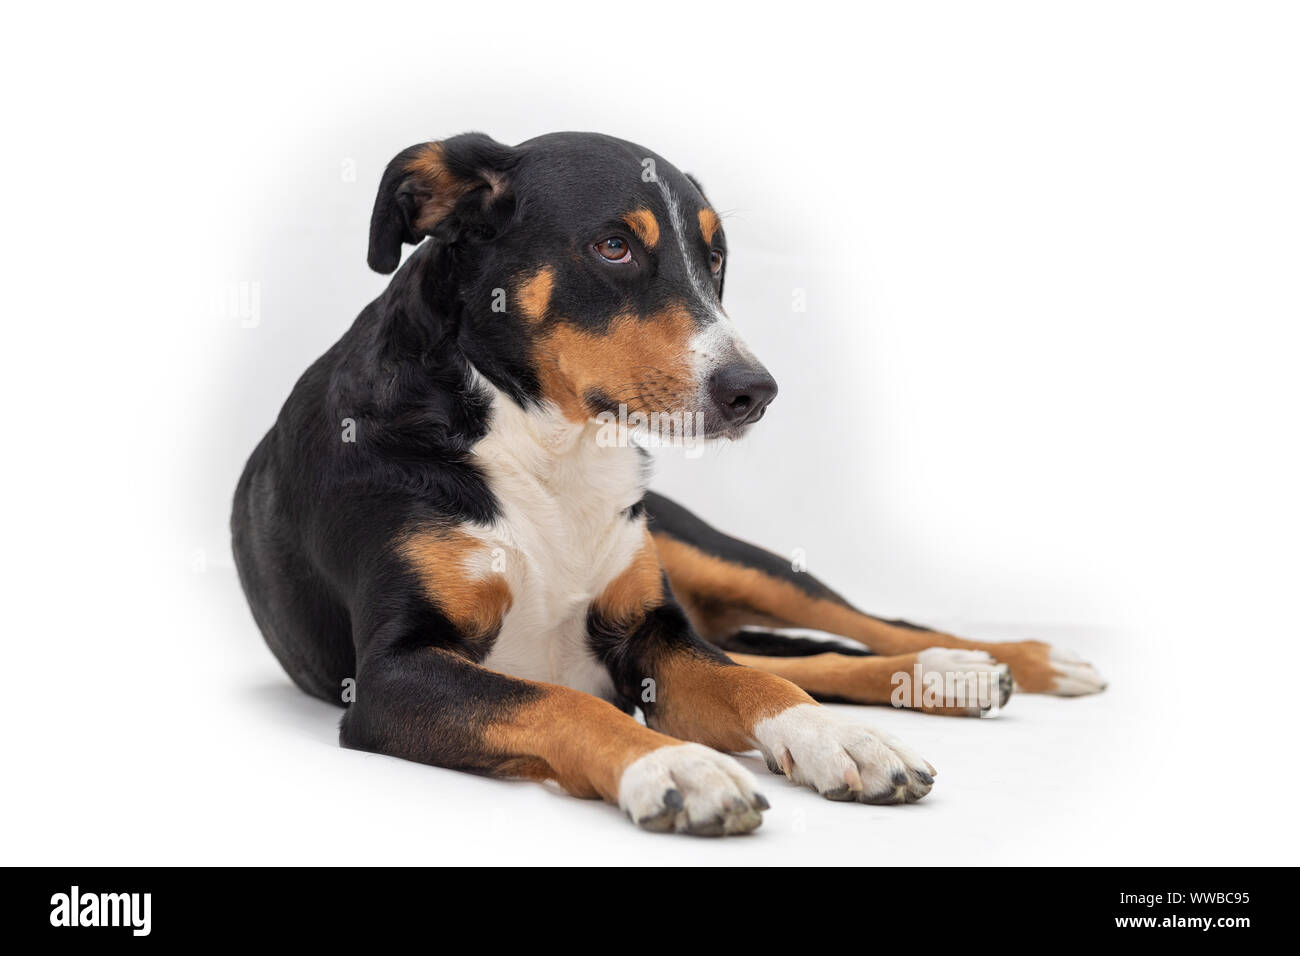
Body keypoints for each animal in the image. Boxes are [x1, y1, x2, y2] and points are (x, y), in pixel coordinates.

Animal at [233, 130, 1107, 832]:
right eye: (614, 247)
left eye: (714, 258)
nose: (754, 391)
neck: (548, 445)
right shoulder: (392, 673)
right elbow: (563, 698)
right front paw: (674, 765)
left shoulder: (647, 631)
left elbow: (757, 686)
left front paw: (837, 738)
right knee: (785, 652)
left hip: (716, 554)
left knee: (840, 632)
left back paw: (981, 664)